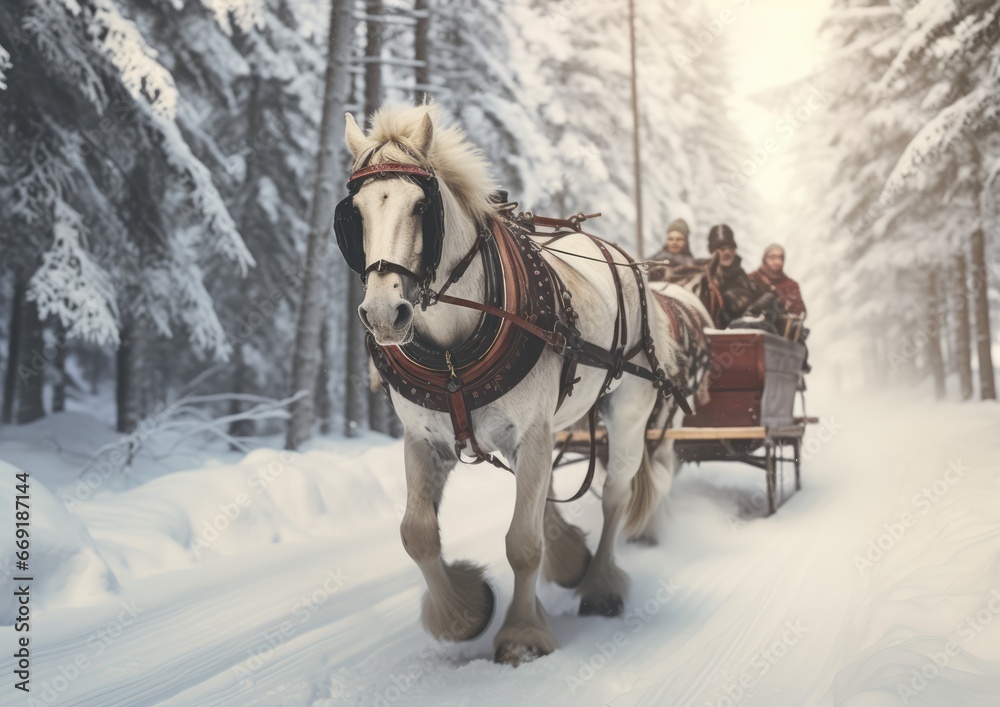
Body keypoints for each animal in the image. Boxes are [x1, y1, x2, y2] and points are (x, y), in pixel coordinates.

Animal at [348, 102, 708, 668]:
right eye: (356, 212)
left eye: (421, 206)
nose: (385, 313)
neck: (451, 352)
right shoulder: (425, 440)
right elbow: (417, 535)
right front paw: (464, 614)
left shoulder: (531, 432)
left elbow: (522, 542)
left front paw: (521, 634)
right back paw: (570, 557)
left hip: (627, 411)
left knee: (615, 494)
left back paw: (600, 584)